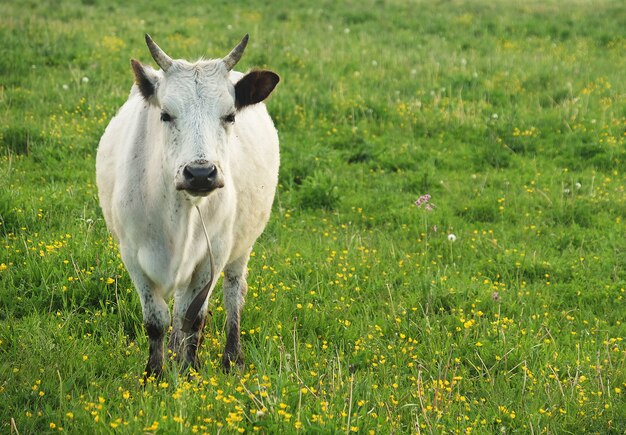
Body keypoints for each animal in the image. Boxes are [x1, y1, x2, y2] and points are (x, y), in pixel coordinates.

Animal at [95, 34, 278, 376]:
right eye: (166, 114)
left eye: (230, 116)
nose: (201, 173)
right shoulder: (132, 254)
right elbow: (157, 320)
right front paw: (155, 374)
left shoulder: (213, 254)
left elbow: (194, 318)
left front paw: (189, 371)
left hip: (240, 247)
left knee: (233, 293)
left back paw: (231, 358)